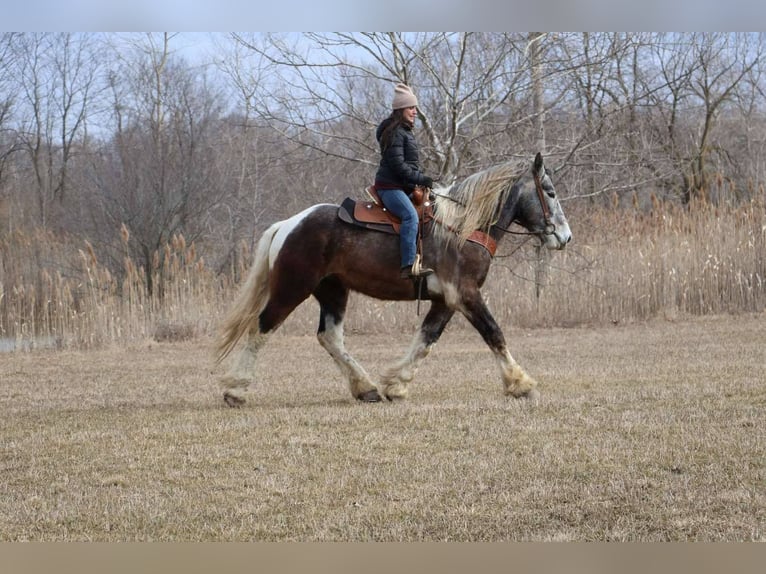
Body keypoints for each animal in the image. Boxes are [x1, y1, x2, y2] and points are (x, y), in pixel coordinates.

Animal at [216, 152, 572, 406]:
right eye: (550, 192)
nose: (565, 237)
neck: (462, 228)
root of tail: (289, 224)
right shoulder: (465, 294)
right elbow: (494, 333)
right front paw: (521, 384)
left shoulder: (446, 300)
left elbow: (426, 339)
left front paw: (396, 385)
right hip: (292, 289)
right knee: (261, 328)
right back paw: (236, 390)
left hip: (333, 291)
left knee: (330, 337)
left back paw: (366, 388)